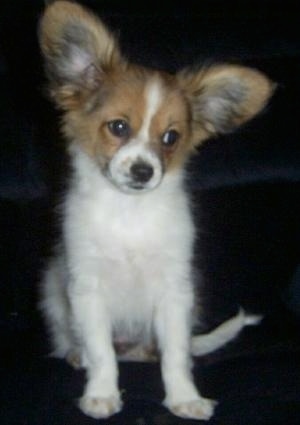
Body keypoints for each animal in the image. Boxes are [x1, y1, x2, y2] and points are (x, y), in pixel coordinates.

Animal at [38, 1, 274, 420]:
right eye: (118, 127)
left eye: (171, 137)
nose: (143, 171)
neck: (129, 214)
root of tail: (133, 348)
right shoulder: (87, 289)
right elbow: (102, 352)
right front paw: (101, 393)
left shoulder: (175, 292)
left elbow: (176, 356)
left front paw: (184, 398)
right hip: (53, 290)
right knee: (86, 343)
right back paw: (77, 355)